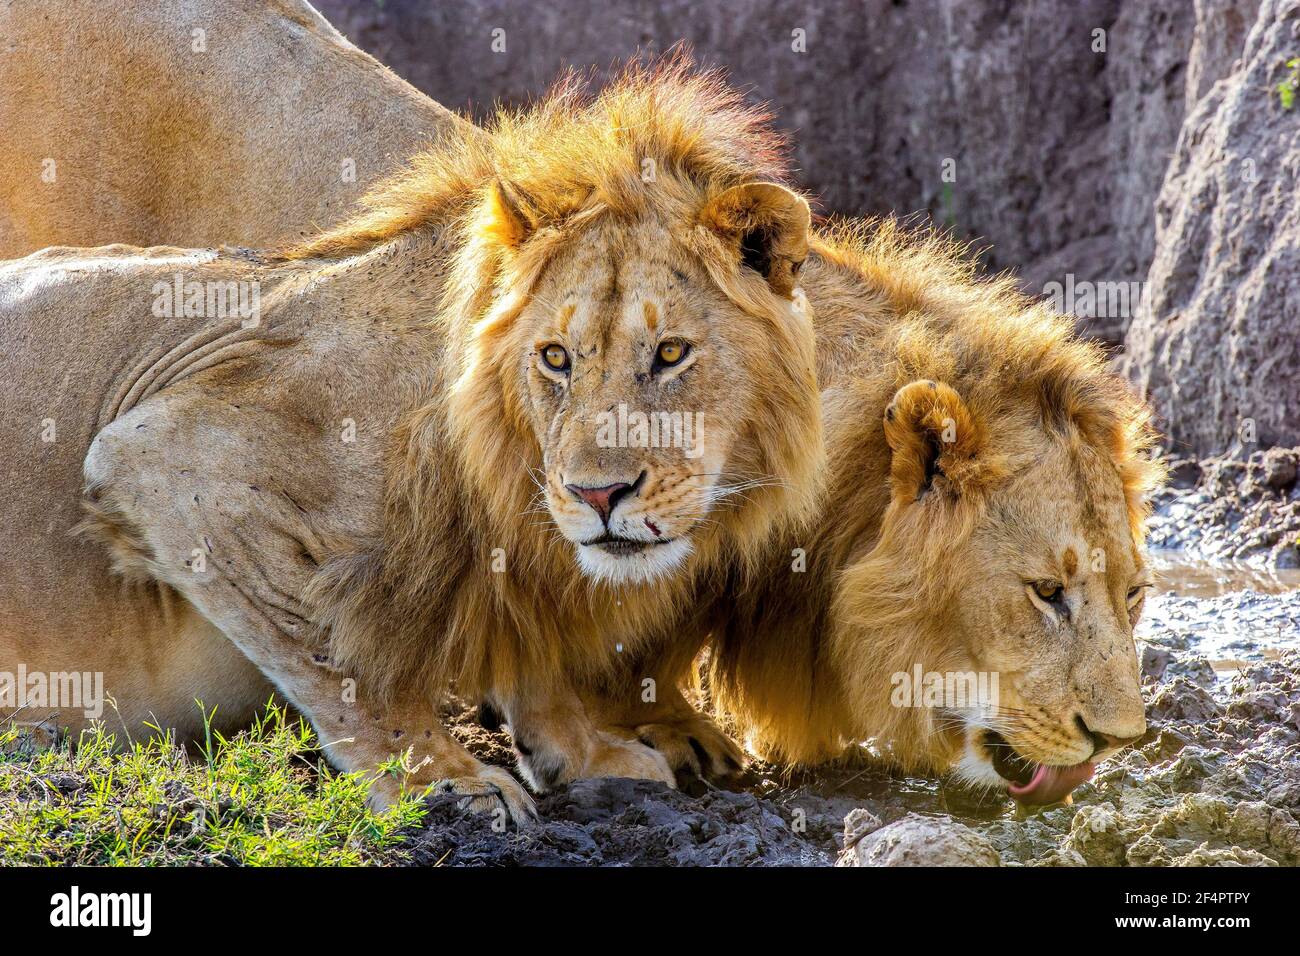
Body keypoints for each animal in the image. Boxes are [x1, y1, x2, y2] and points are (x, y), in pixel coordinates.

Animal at [0, 65, 821, 822]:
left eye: (671, 353)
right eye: (556, 358)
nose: (597, 495)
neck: (499, 452)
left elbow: (528, 644)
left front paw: (586, 750)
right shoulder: (161, 456)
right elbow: (339, 657)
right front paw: (444, 780)